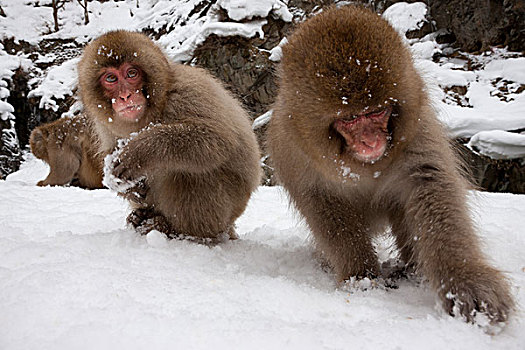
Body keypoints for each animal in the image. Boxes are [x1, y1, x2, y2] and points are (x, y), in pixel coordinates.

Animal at [77, 30, 260, 241]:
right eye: (111, 78)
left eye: (131, 73)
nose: (125, 96)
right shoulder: (105, 124)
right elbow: (111, 149)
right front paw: (128, 188)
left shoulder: (188, 92)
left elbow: (219, 138)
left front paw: (139, 152)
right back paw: (141, 217)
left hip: (229, 205)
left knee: (193, 173)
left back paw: (174, 229)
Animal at [268, 5, 512, 324]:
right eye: (351, 118)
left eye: (377, 112)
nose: (371, 142)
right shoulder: (295, 152)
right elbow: (323, 204)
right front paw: (360, 276)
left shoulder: (417, 131)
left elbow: (431, 185)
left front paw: (465, 281)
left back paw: (414, 269)